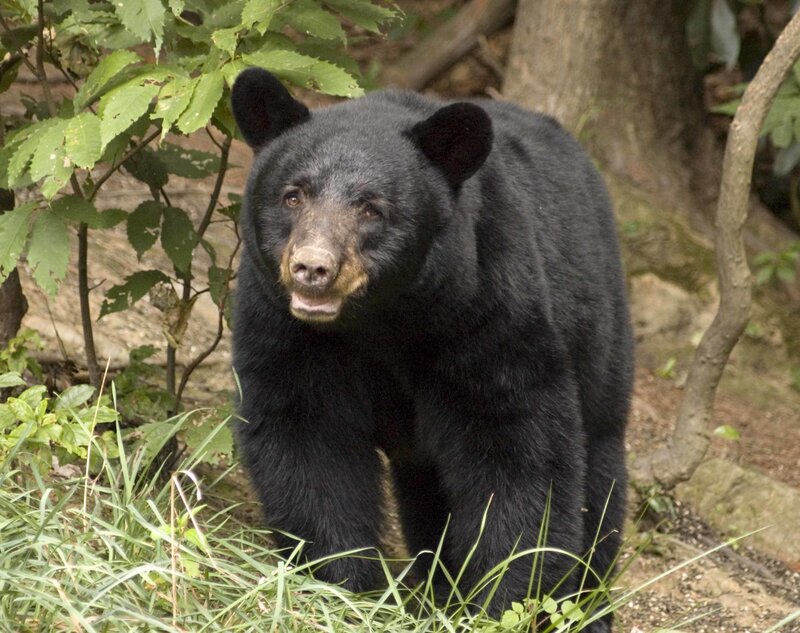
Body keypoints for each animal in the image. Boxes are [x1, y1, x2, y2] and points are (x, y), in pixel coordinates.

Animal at [230, 67, 634, 630]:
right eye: (293, 195)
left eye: (371, 208)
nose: (312, 267)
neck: (383, 318)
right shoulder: (286, 328)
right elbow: (308, 438)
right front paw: (344, 586)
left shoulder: (487, 311)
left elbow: (518, 450)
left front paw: (499, 601)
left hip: (600, 333)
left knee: (598, 478)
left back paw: (584, 608)